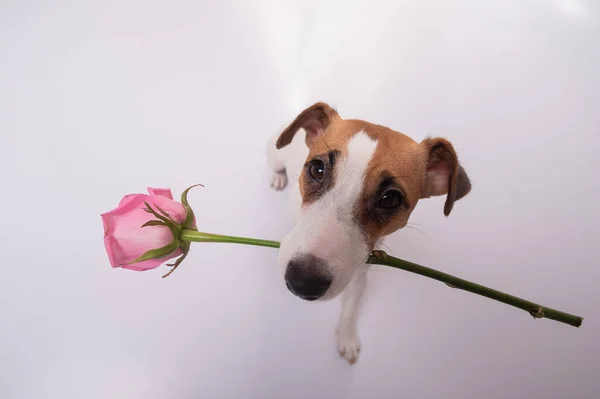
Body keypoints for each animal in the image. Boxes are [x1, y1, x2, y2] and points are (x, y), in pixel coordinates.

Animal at [264, 103, 472, 366]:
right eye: (317, 169)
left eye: (390, 199)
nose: (302, 282)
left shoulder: (359, 271)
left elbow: (350, 309)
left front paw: (346, 338)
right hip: (274, 154)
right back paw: (278, 176)